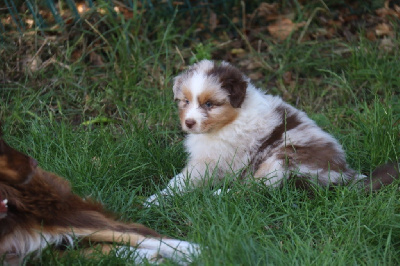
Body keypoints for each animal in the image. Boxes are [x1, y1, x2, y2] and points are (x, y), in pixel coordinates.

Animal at [145, 60, 398, 206]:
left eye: (209, 104)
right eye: (185, 101)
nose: (189, 123)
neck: (232, 119)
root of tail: (346, 175)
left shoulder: (214, 161)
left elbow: (184, 180)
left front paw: (156, 199)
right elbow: (180, 181)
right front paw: (155, 198)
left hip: (283, 158)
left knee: (257, 189)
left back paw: (218, 195)